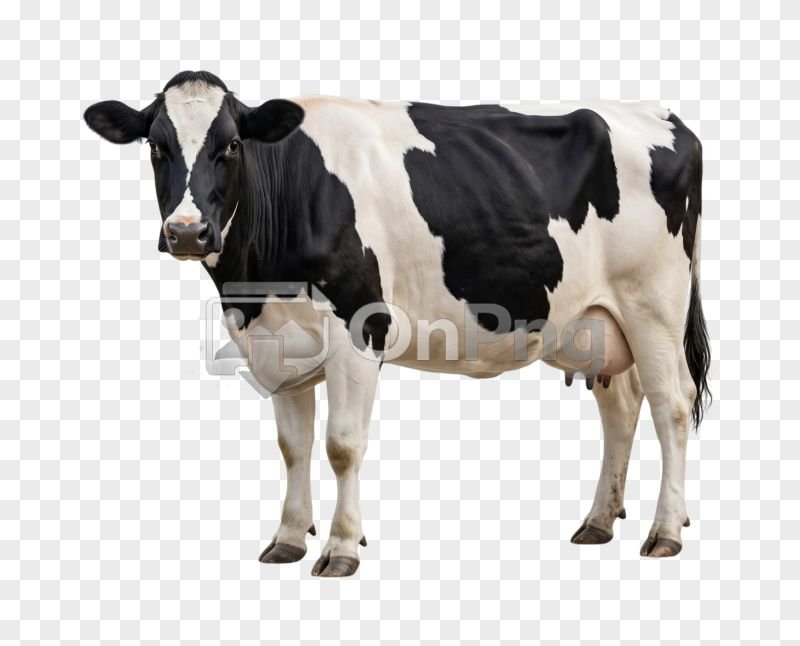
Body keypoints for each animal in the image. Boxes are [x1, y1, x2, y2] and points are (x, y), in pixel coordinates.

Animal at [84, 71, 711, 576]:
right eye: (156, 145)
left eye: (232, 144)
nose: (187, 232)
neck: (257, 285)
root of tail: (664, 115)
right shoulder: (278, 341)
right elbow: (293, 447)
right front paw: (288, 539)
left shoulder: (360, 326)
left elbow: (341, 445)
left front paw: (341, 547)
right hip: (594, 322)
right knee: (621, 407)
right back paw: (599, 521)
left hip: (654, 304)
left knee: (672, 406)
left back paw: (664, 531)